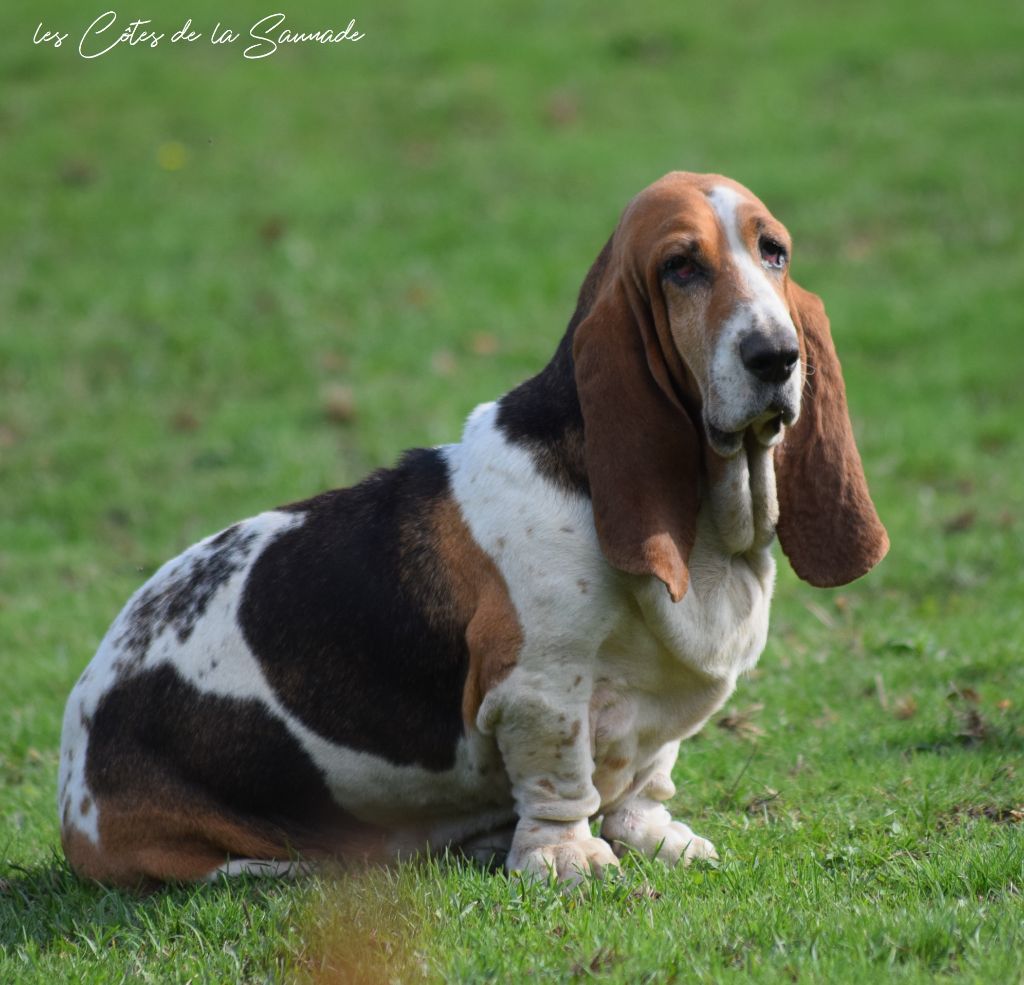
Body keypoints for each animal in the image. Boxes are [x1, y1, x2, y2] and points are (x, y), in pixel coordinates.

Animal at [58, 173, 888, 888]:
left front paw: (655, 837)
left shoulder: (651, 718)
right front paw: (566, 858)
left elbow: (644, 779)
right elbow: (560, 777)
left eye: (774, 251)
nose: (775, 356)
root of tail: (72, 768)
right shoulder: (539, 689)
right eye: (680, 267)